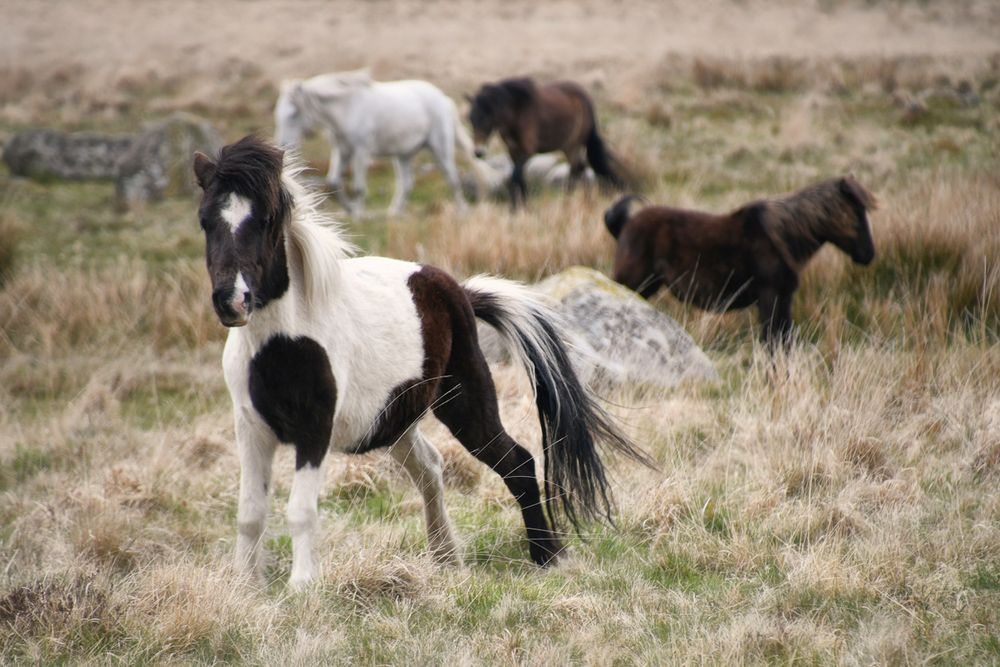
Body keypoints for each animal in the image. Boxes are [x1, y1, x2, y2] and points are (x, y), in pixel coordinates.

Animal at [193, 138, 648, 588]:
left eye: (267, 220)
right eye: (205, 221)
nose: (232, 301)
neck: (280, 344)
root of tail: (460, 292)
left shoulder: (314, 429)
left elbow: (300, 511)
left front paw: (303, 589)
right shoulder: (251, 428)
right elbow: (250, 514)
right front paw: (246, 586)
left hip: (465, 402)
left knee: (517, 462)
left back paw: (546, 556)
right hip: (396, 421)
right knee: (431, 467)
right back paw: (446, 557)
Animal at [274, 68, 476, 214]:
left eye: (294, 113)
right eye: (278, 113)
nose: (283, 145)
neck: (348, 107)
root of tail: (443, 99)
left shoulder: (361, 151)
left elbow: (358, 187)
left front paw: (358, 214)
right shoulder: (342, 150)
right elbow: (333, 182)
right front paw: (350, 209)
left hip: (440, 149)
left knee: (452, 178)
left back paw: (462, 210)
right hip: (403, 155)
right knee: (407, 183)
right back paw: (394, 213)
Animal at [466, 77, 620, 206]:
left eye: (486, 120)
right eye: (471, 119)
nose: (478, 152)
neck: (517, 114)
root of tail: (585, 98)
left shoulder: (527, 151)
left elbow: (515, 177)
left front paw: (517, 207)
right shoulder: (512, 151)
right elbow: (519, 178)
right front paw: (522, 205)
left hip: (574, 146)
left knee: (575, 171)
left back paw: (569, 201)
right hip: (568, 148)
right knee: (580, 169)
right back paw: (582, 200)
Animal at [600, 177, 876, 352]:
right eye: (856, 213)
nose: (869, 255)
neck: (780, 238)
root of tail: (625, 224)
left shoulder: (784, 298)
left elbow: (783, 340)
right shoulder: (769, 296)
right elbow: (773, 341)